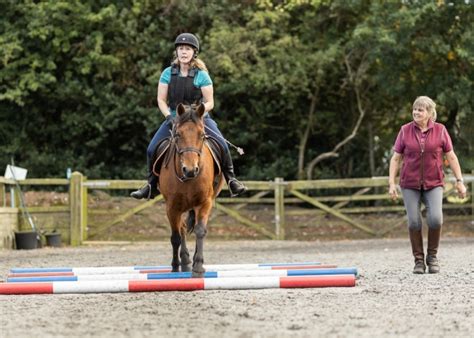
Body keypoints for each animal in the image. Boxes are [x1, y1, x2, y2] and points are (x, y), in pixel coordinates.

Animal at [157, 103, 224, 278]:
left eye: (202, 135)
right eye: (178, 135)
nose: (190, 170)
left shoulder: (205, 202)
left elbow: (200, 231)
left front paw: (198, 266)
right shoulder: (172, 206)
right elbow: (175, 237)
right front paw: (175, 266)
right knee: (181, 228)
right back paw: (185, 261)